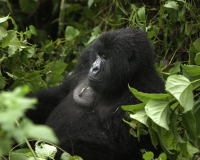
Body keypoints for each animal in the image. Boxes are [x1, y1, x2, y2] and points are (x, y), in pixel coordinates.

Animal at [27, 27, 165, 160]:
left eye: (105, 57)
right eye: (98, 54)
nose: (94, 68)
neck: (129, 77)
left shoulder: (146, 91)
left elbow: (105, 144)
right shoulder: (86, 58)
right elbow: (60, 93)